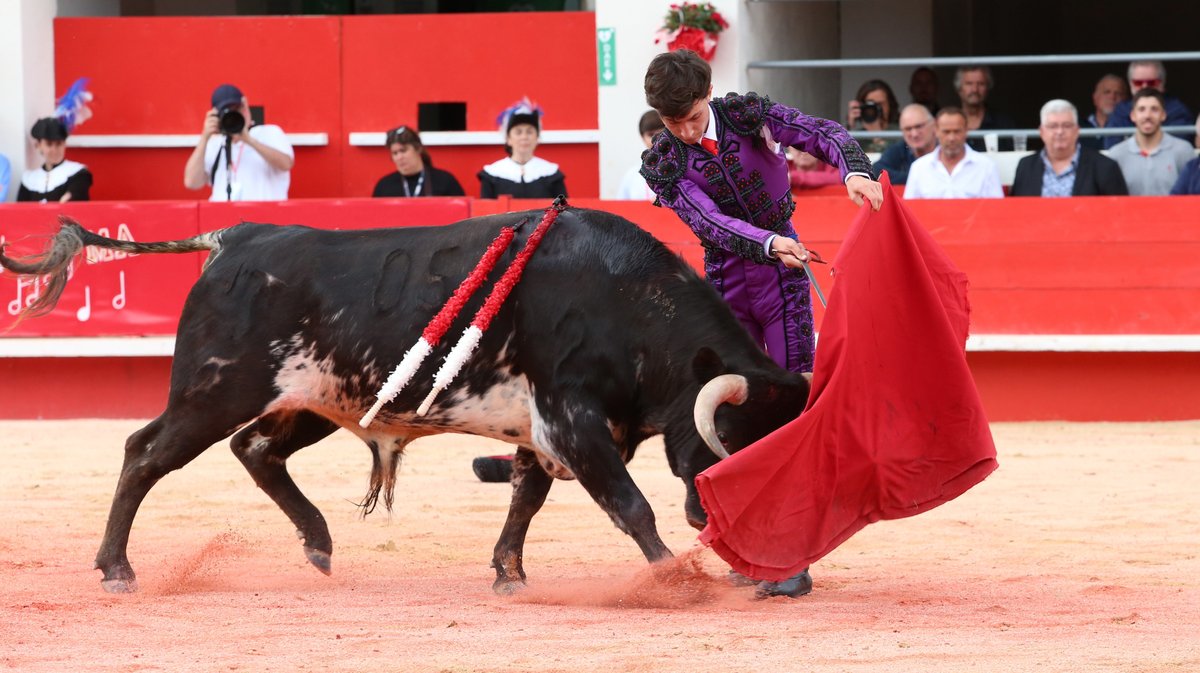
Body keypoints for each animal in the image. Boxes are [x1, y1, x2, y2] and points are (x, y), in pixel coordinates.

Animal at [2, 207, 806, 590]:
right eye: (734, 439)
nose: (724, 525)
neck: (624, 298)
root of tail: (236, 236)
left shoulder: (540, 430)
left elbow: (525, 498)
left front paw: (508, 574)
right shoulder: (572, 420)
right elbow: (629, 504)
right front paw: (674, 577)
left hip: (313, 403)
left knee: (255, 450)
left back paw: (320, 545)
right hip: (215, 390)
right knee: (146, 451)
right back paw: (117, 569)